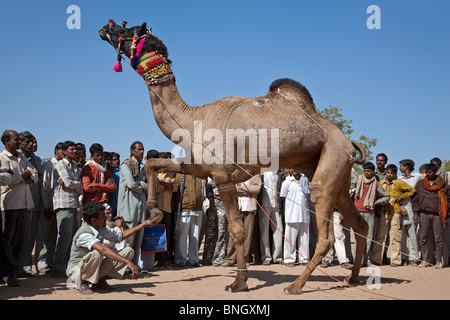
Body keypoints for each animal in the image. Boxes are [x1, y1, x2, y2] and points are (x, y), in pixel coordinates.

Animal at [99, 20, 370, 296]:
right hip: (334, 170)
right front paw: (153, 212)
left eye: (128, 30)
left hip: (332, 157)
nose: (106, 27)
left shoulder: (223, 175)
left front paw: (239, 282)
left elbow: (237, 229)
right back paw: (352, 278)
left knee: (324, 224)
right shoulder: (199, 167)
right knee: (359, 223)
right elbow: (153, 163)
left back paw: (295, 285)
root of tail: (349, 142)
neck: (192, 120)